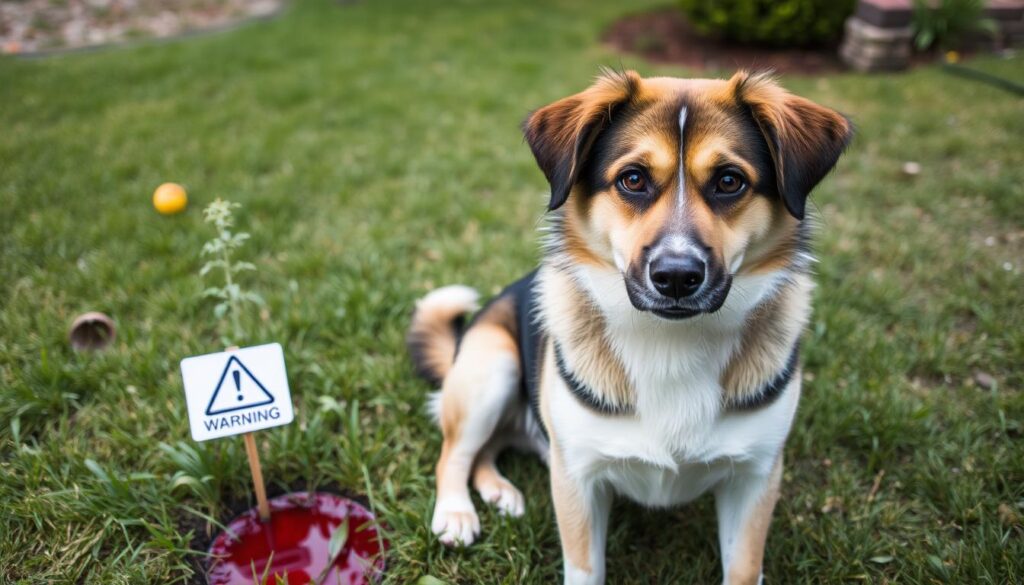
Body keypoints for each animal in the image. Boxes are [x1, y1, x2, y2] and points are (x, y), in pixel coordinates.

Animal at [405, 69, 847, 585]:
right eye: (633, 179)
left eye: (729, 181)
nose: (676, 276)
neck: (671, 342)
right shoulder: (576, 477)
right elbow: (584, 569)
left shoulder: (756, 477)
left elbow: (743, 569)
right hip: (491, 367)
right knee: (455, 452)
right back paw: (456, 512)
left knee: (489, 448)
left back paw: (498, 489)